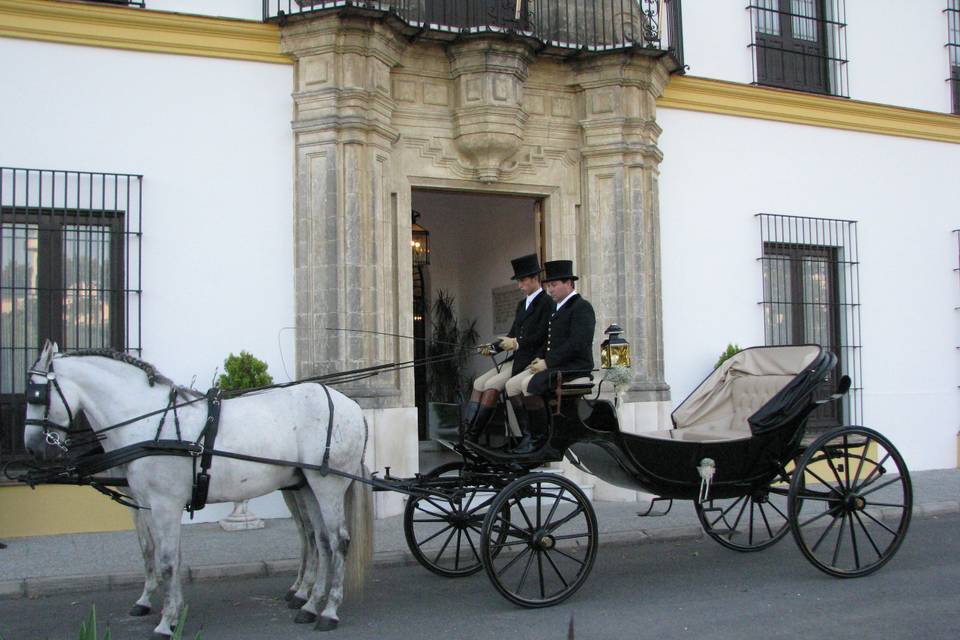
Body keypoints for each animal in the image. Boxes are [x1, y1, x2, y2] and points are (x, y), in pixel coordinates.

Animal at [21, 340, 376, 636]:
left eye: (36, 395)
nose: (34, 448)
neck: (149, 423)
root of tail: (351, 405)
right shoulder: (148, 503)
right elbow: (157, 552)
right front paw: (166, 607)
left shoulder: (165, 503)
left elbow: (166, 559)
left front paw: (166, 621)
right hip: (306, 485)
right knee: (320, 540)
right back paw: (310, 603)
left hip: (328, 484)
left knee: (337, 541)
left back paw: (329, 611)